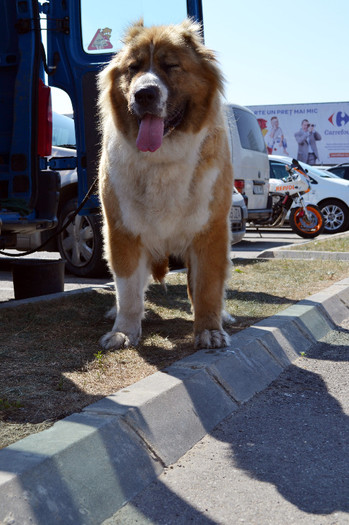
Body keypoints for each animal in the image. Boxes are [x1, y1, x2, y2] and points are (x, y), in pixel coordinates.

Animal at [98, 18, 232, 350]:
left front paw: (209, 329)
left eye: (171, 65)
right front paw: (124, 330)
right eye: (133, 68)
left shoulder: (210, 231)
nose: (144, 94)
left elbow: (207, 287)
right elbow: (128, 291)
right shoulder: (122, 231)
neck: (162, 159)